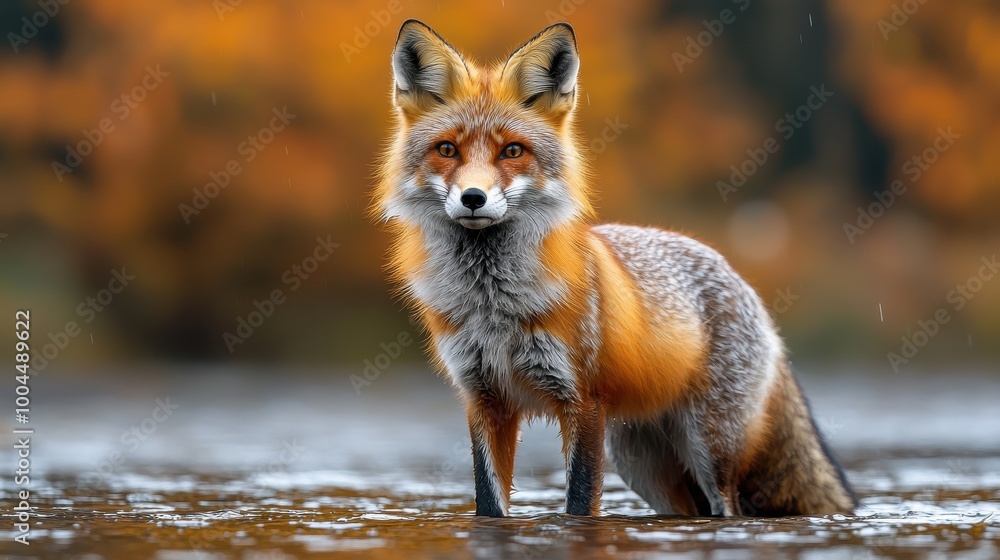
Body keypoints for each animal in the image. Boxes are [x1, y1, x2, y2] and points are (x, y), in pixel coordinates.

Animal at [373, 19, 857, 518]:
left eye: (512, 151)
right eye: (447, 149)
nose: (473, 197)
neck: (492, 306)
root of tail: (738, 276)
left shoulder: (583, 400)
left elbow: (579, 501)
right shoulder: (484, 400)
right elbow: (489, 503)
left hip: (708, 449)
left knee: (729, 508)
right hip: (645, 468)